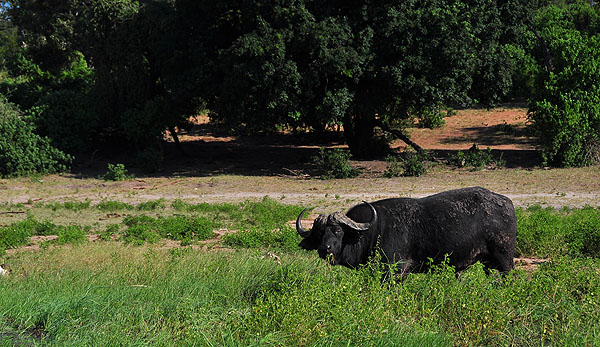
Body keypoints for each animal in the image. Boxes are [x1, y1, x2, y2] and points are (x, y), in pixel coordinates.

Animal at [298, 188, 516, 274]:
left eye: (337, 231)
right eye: (320, 234)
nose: (324, 249)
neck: (373, 231)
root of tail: (507, 203)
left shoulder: (396, 270)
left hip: (504, 259)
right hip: (489, 263)